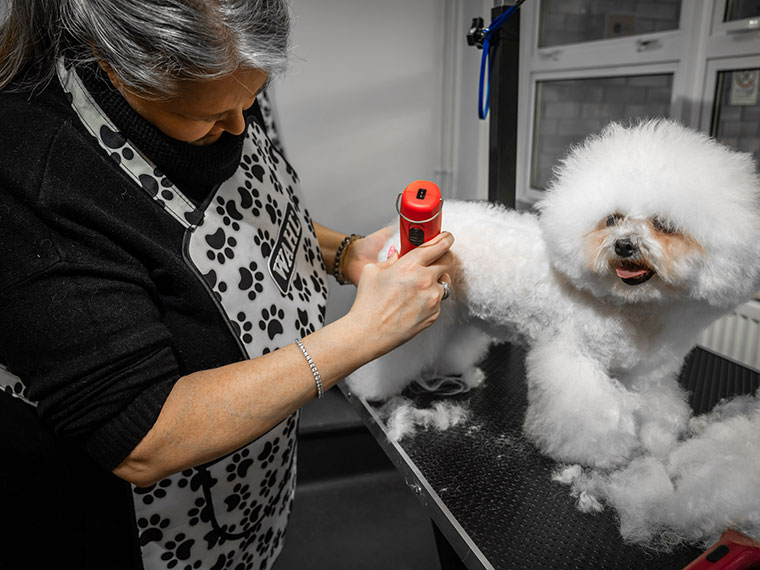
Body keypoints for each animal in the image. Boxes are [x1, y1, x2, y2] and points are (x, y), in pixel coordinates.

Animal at [348, 118, 760, 466]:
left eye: (664, 225)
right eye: (612, 219)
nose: (624, 245)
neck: (629, 309)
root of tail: (396, 230)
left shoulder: (643, 374)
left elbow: (651, 405)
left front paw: (654, 437)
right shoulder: (572, 358)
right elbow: (589, 416)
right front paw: (599, 451)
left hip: (455, 313)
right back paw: (371, 385)